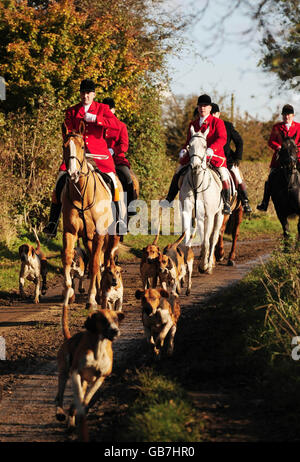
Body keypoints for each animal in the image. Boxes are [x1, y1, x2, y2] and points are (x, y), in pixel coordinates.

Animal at [61, 119, 119, 336]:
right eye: (64, 147)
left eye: (82, 146)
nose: (73, 173)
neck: (81, 194)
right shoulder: (70, 232)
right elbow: (68, 257)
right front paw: (68, 290)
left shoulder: (100, 234)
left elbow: (94, 265)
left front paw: (92, 299)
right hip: (88, 238)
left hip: (107, 237)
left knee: (104, 259)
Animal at [179, 125, 224, 274]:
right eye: (189, 146)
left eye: (205, 146)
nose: (195, 166)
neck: (197, 184)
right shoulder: (187, 211)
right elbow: (187, 238)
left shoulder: (209, 215)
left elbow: (206, 241)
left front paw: (204, 265)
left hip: (219, 215)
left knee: (213, 238)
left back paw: (209, 264)